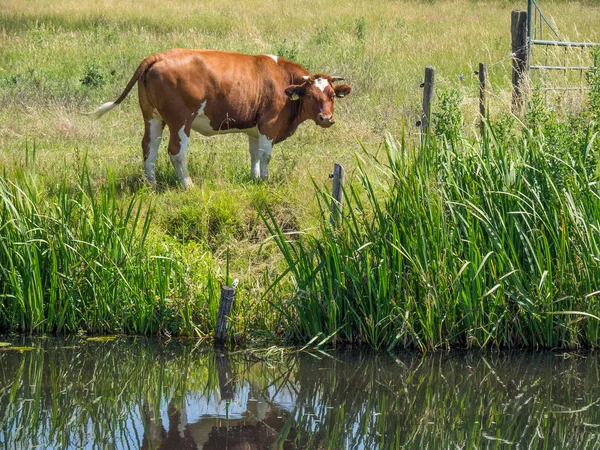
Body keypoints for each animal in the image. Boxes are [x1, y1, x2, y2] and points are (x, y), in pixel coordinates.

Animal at [88, 49, 352, 188]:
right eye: (310, 95)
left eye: (331, 95)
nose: (326, 118)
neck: (283, 80)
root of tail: (158, 56)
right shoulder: (269, 124)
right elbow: (266, 155)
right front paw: (265, 181)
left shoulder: (255, 128)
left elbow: (254, 154)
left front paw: (254, 178)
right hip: (180, 121)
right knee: (176, 151)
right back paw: (188, 185)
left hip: (152, 117)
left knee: (148, 147)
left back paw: (151, 183)